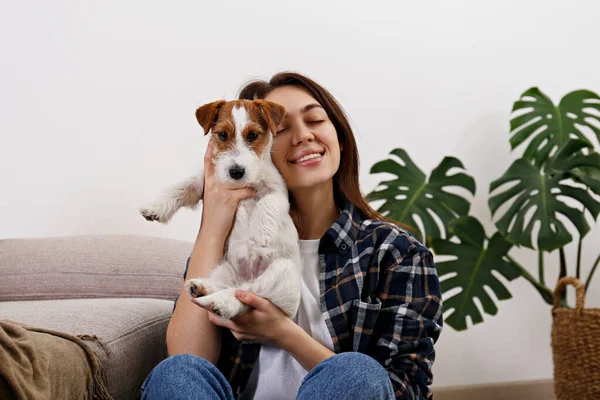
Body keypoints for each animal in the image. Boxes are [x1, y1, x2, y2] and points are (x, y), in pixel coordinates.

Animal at [139, 101, 300, 322]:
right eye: (222, 135)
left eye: (252, 135)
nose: (236, 171)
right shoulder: (204, 182)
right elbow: (181, 187)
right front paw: (155, 207)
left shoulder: (280, 192)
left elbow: (268, 201)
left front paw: (260, 233)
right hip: (224, 269)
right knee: (232, 287)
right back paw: (202, 288)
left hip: (283, 271)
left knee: (248, 293)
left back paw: (224, 303)